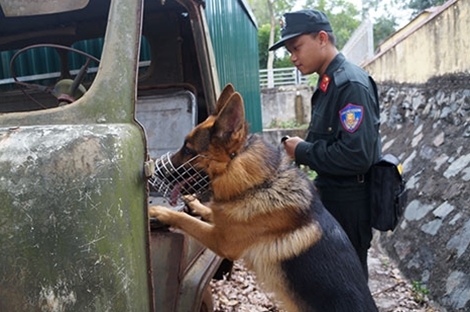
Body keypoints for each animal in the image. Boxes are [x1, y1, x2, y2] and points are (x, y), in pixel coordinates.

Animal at [150, 84, 378, 310]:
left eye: (188, 150)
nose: (153, 172)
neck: (259, 184)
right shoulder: (226, 221)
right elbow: (209, 211)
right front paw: (195, 202)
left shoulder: (220, 241)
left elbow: (186, 220)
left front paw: (160, 211)